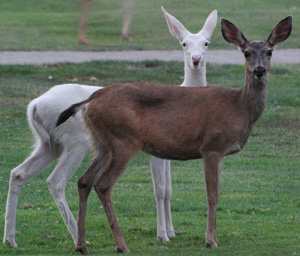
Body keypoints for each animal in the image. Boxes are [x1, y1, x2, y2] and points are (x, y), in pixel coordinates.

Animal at [3, 8, 217, 248]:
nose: (196, 59)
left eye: (207, 43)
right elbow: (160, 189)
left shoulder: (168, 152)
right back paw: (80, 238)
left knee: (18, 173)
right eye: (183, 43)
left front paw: (171, 232)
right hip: (76, 141)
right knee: (56, 181)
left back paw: (10, 239)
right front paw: (162, 235)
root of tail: (35, 105)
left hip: (50, 144)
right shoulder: (155, 151)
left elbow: (169, 189)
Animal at [56, 16, 292, 254]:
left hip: (102, 143)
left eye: (270, 51)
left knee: (84, 181)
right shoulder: (212, 146)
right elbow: (212, 193)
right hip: (124, 140)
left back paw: (81, 245)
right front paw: (210, 240)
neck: (239, 108)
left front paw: (213, 237)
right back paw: (121, 245)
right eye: (246, 53)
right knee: (103, 184)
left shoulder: (221, 151)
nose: (259, 70)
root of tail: (90, 101)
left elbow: (217, 191)